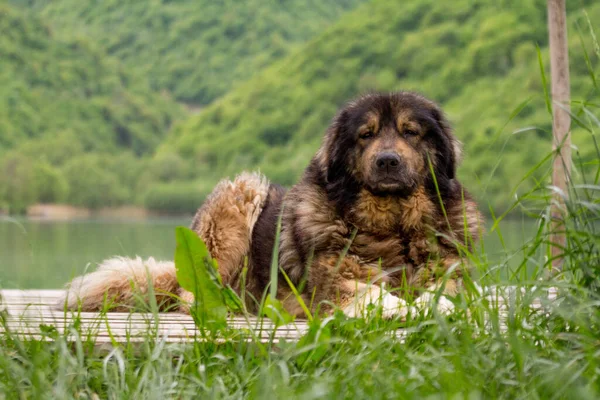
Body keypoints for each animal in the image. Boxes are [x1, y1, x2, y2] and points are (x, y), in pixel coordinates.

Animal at [59, 93, 482, 318]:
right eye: (366, 135)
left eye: (411, 132)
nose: (388, 161)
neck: (391, 224)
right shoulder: (335, 282)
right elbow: (377, 294)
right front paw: (405, 307)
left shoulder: (451, 270)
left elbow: (445, 292)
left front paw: (436, 305)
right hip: (239, 197)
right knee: (192, 294)